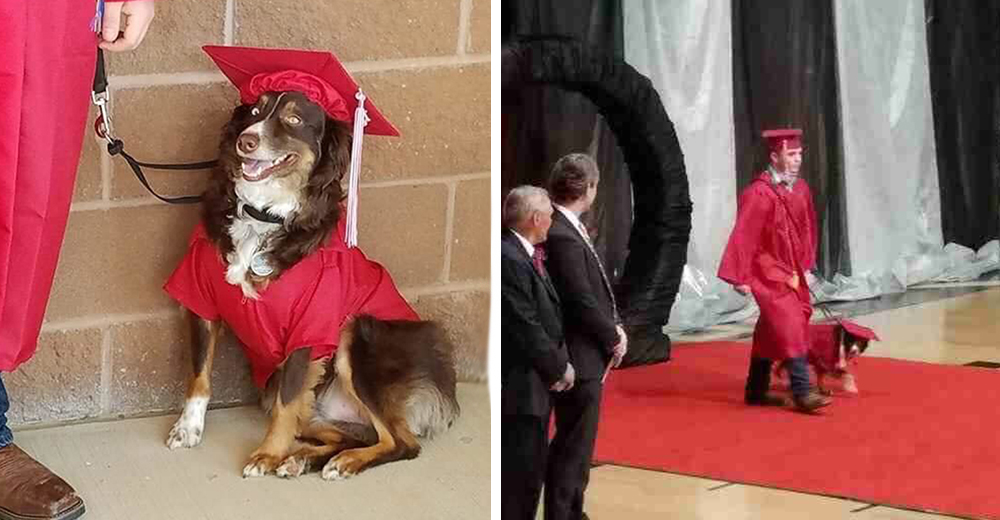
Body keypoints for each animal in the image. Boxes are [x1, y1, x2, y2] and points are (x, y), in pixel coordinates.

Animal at [164, 90, 460, 480]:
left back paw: (340, 461)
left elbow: (287, 403)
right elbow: (199, 375)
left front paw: (267, 454)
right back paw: (303, 458)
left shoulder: (310, 324)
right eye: (255, 111)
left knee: (401, 442)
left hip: (358, 334)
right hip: (299, 399)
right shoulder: (201, 300)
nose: (247, 140)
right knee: (353, 435)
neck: (263, 216)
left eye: (293, 120)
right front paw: (189, 427)